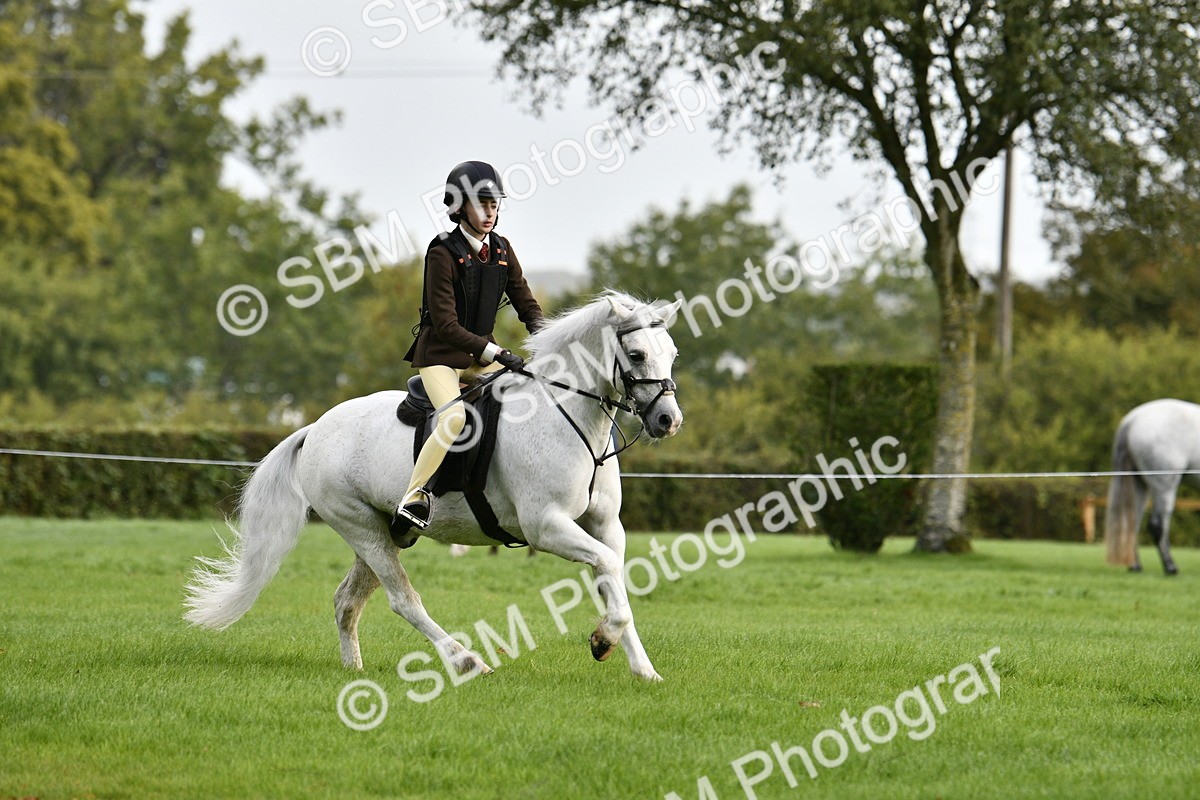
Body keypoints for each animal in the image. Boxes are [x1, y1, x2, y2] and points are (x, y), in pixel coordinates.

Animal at [183, 292, 683, 681]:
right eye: (637, 355)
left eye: (672, 353)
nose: (668, 421)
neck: (565, 414)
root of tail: (315, 429)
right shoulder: (546, 526)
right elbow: (607, 571)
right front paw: (602, 640)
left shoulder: (604, 525)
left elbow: (614, 581)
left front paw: (642, 669)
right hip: (360, 526)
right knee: (404, 601)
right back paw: (466, 662)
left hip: (384, 531)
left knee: (347, 601)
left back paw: (353, 668)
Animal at [1105, 398, 1200, 575]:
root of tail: (1132, 420)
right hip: (1165, 485)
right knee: (1157, 525)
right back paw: (1170, 567)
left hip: (1138, 483)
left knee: (1132, 522)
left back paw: (1135, 565)